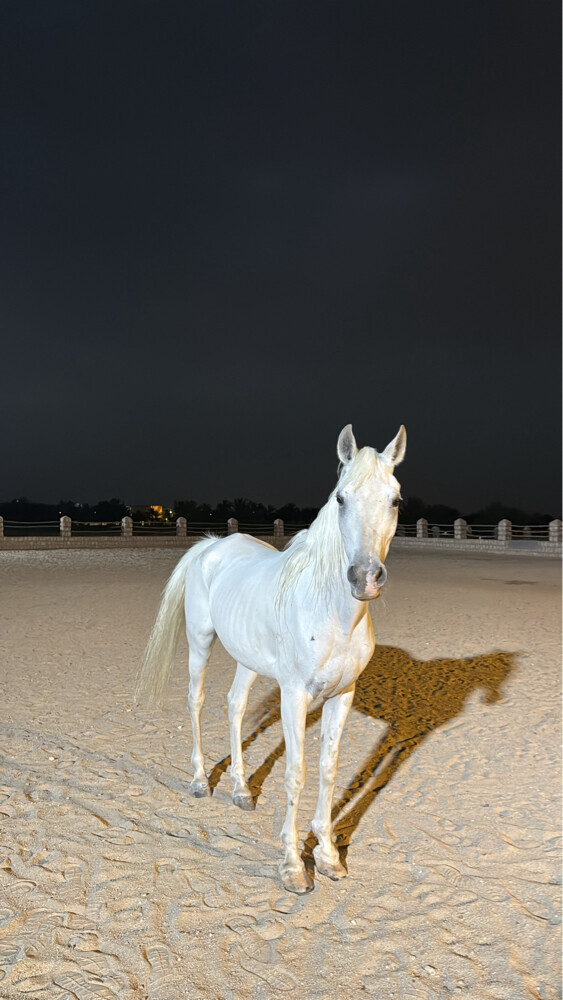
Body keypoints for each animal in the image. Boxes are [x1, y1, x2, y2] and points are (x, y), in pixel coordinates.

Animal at [136, 423, 406, 893]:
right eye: (340, 498)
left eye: (394, 500)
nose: (365, 578)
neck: (331, 612)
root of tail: (211, 547)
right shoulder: (294, 695)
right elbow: (296, 773)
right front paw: (294, 866)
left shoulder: (344, 695)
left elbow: (329, 770)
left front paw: (328, 856)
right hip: (199, 642)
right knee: (196, 701)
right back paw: (199, 781)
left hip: (248, 661)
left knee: (234, 706)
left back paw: (242, 790)